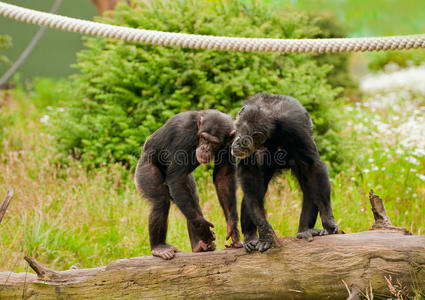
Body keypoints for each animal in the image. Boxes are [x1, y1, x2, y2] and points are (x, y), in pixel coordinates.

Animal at [136, 109, 242, 258]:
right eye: (204, 138)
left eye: (214, 143)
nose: (205, 148)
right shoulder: (183, 134)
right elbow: (177, 180)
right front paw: (203, 229)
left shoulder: (231, 141)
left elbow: (223, 178)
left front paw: (233, 229)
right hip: (144, 170)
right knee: (161, 202)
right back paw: (159, 247)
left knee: (191, 200)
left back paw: (199, 246)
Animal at [230, 94, 340, 253]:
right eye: (237, 133)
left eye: (244, 141)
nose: (237, 143)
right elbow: (249, 174)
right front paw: (265, 232)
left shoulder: (296, 128)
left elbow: (312, 166)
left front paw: (328, 221)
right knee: (255, 192)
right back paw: (250, 237)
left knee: (309, 186)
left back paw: (304, 230)